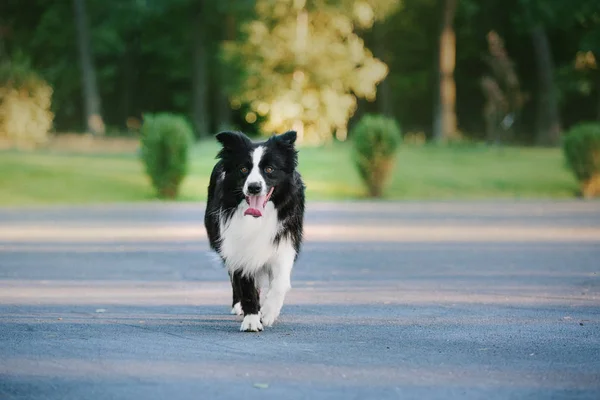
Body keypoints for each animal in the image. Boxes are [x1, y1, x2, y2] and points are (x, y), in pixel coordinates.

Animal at [204, 130, 304, 332]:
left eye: (270, 169)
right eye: (243, 169)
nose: (254, 187)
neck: (258, 218)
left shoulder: (284, 243)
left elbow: (280, 282)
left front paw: (267, 312)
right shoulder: (237, 244)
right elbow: (245, 283)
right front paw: (251, 320)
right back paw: (239, 306)